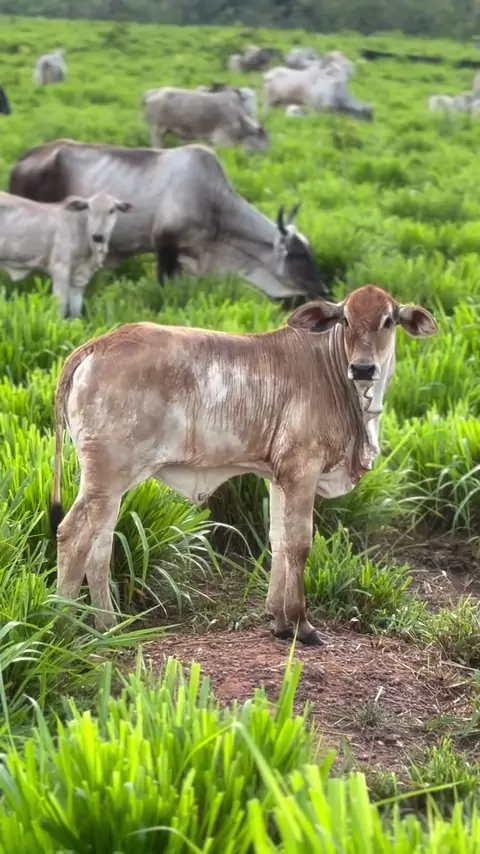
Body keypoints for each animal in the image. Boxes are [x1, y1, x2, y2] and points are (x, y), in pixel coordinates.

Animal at [0, 191, 132, 317]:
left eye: (112, 210)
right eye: (89, 209)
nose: (98, 236)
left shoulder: (80, 276)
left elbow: (76, 306)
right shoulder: (60, 268)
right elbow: (61, 304)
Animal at [49, 285, 438, 640]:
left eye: (388, 321)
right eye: (345, 319)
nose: (363, 368)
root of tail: (96, 345)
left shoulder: (279, 476)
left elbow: (279, 540)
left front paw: (279, 621)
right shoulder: (303, 469)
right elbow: (299, 544)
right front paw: (301, 624)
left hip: (110, 485)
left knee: (100, 545)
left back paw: (107, 626)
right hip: (106, 476)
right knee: (72, 535)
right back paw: (64, 625)